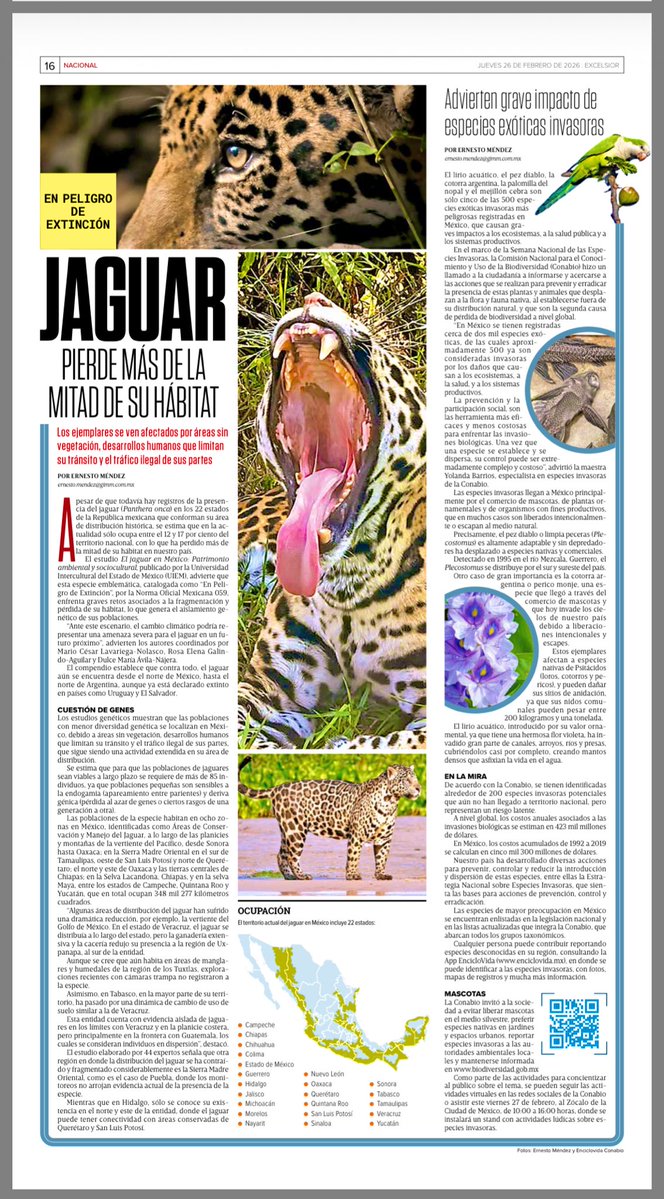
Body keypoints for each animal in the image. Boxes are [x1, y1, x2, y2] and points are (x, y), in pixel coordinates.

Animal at [238, 757, 421, 881]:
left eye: (416, 778)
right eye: (407, 780)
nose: (419, 788)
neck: (391, 802)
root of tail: (277, 788)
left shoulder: (385, 838)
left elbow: (382, 858)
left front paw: (381, 875)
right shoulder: (356, 835)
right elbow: (354, 856)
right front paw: (352, 875)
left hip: (287, 830)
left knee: (281, 854)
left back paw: (290, 877)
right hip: (296, 831)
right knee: (292, 856)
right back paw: (302, 876)